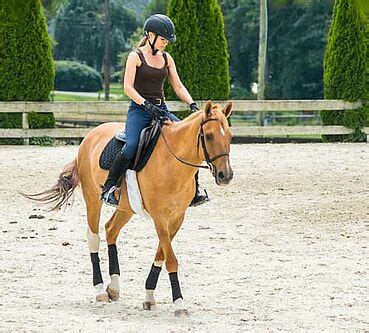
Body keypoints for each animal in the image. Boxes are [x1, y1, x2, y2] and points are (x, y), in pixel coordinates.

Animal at [23, 99, 233, 316]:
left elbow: (161, 255)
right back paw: (100, 290)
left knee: (111, 230)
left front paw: (149, 297)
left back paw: (114, 287)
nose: (225, 175)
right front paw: (179, 303)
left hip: (126, 207)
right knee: (94, 237)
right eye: (209, 135)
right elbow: (171, 259)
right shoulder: (160, 218)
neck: (172, 163)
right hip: (92, 199)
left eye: (230, 136)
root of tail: (91, 134)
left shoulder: (176, 218)